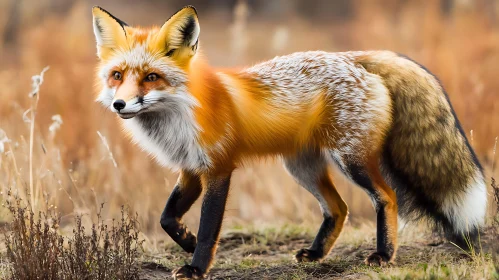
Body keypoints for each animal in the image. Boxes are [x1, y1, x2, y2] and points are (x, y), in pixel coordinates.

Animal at [93, 4, 488, 280]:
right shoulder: (191, 169)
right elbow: (166, 218)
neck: (181, 116)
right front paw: (186, 241)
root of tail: (353, 57)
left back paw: (384, 255)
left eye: (151, 77)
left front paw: (197, 266)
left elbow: (208, 228)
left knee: (386, 197)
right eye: (117, 75)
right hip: (302, 168)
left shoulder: (219, 169)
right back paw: (316, 255)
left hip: (350, 160)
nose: (119, 105)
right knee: (339, 208)